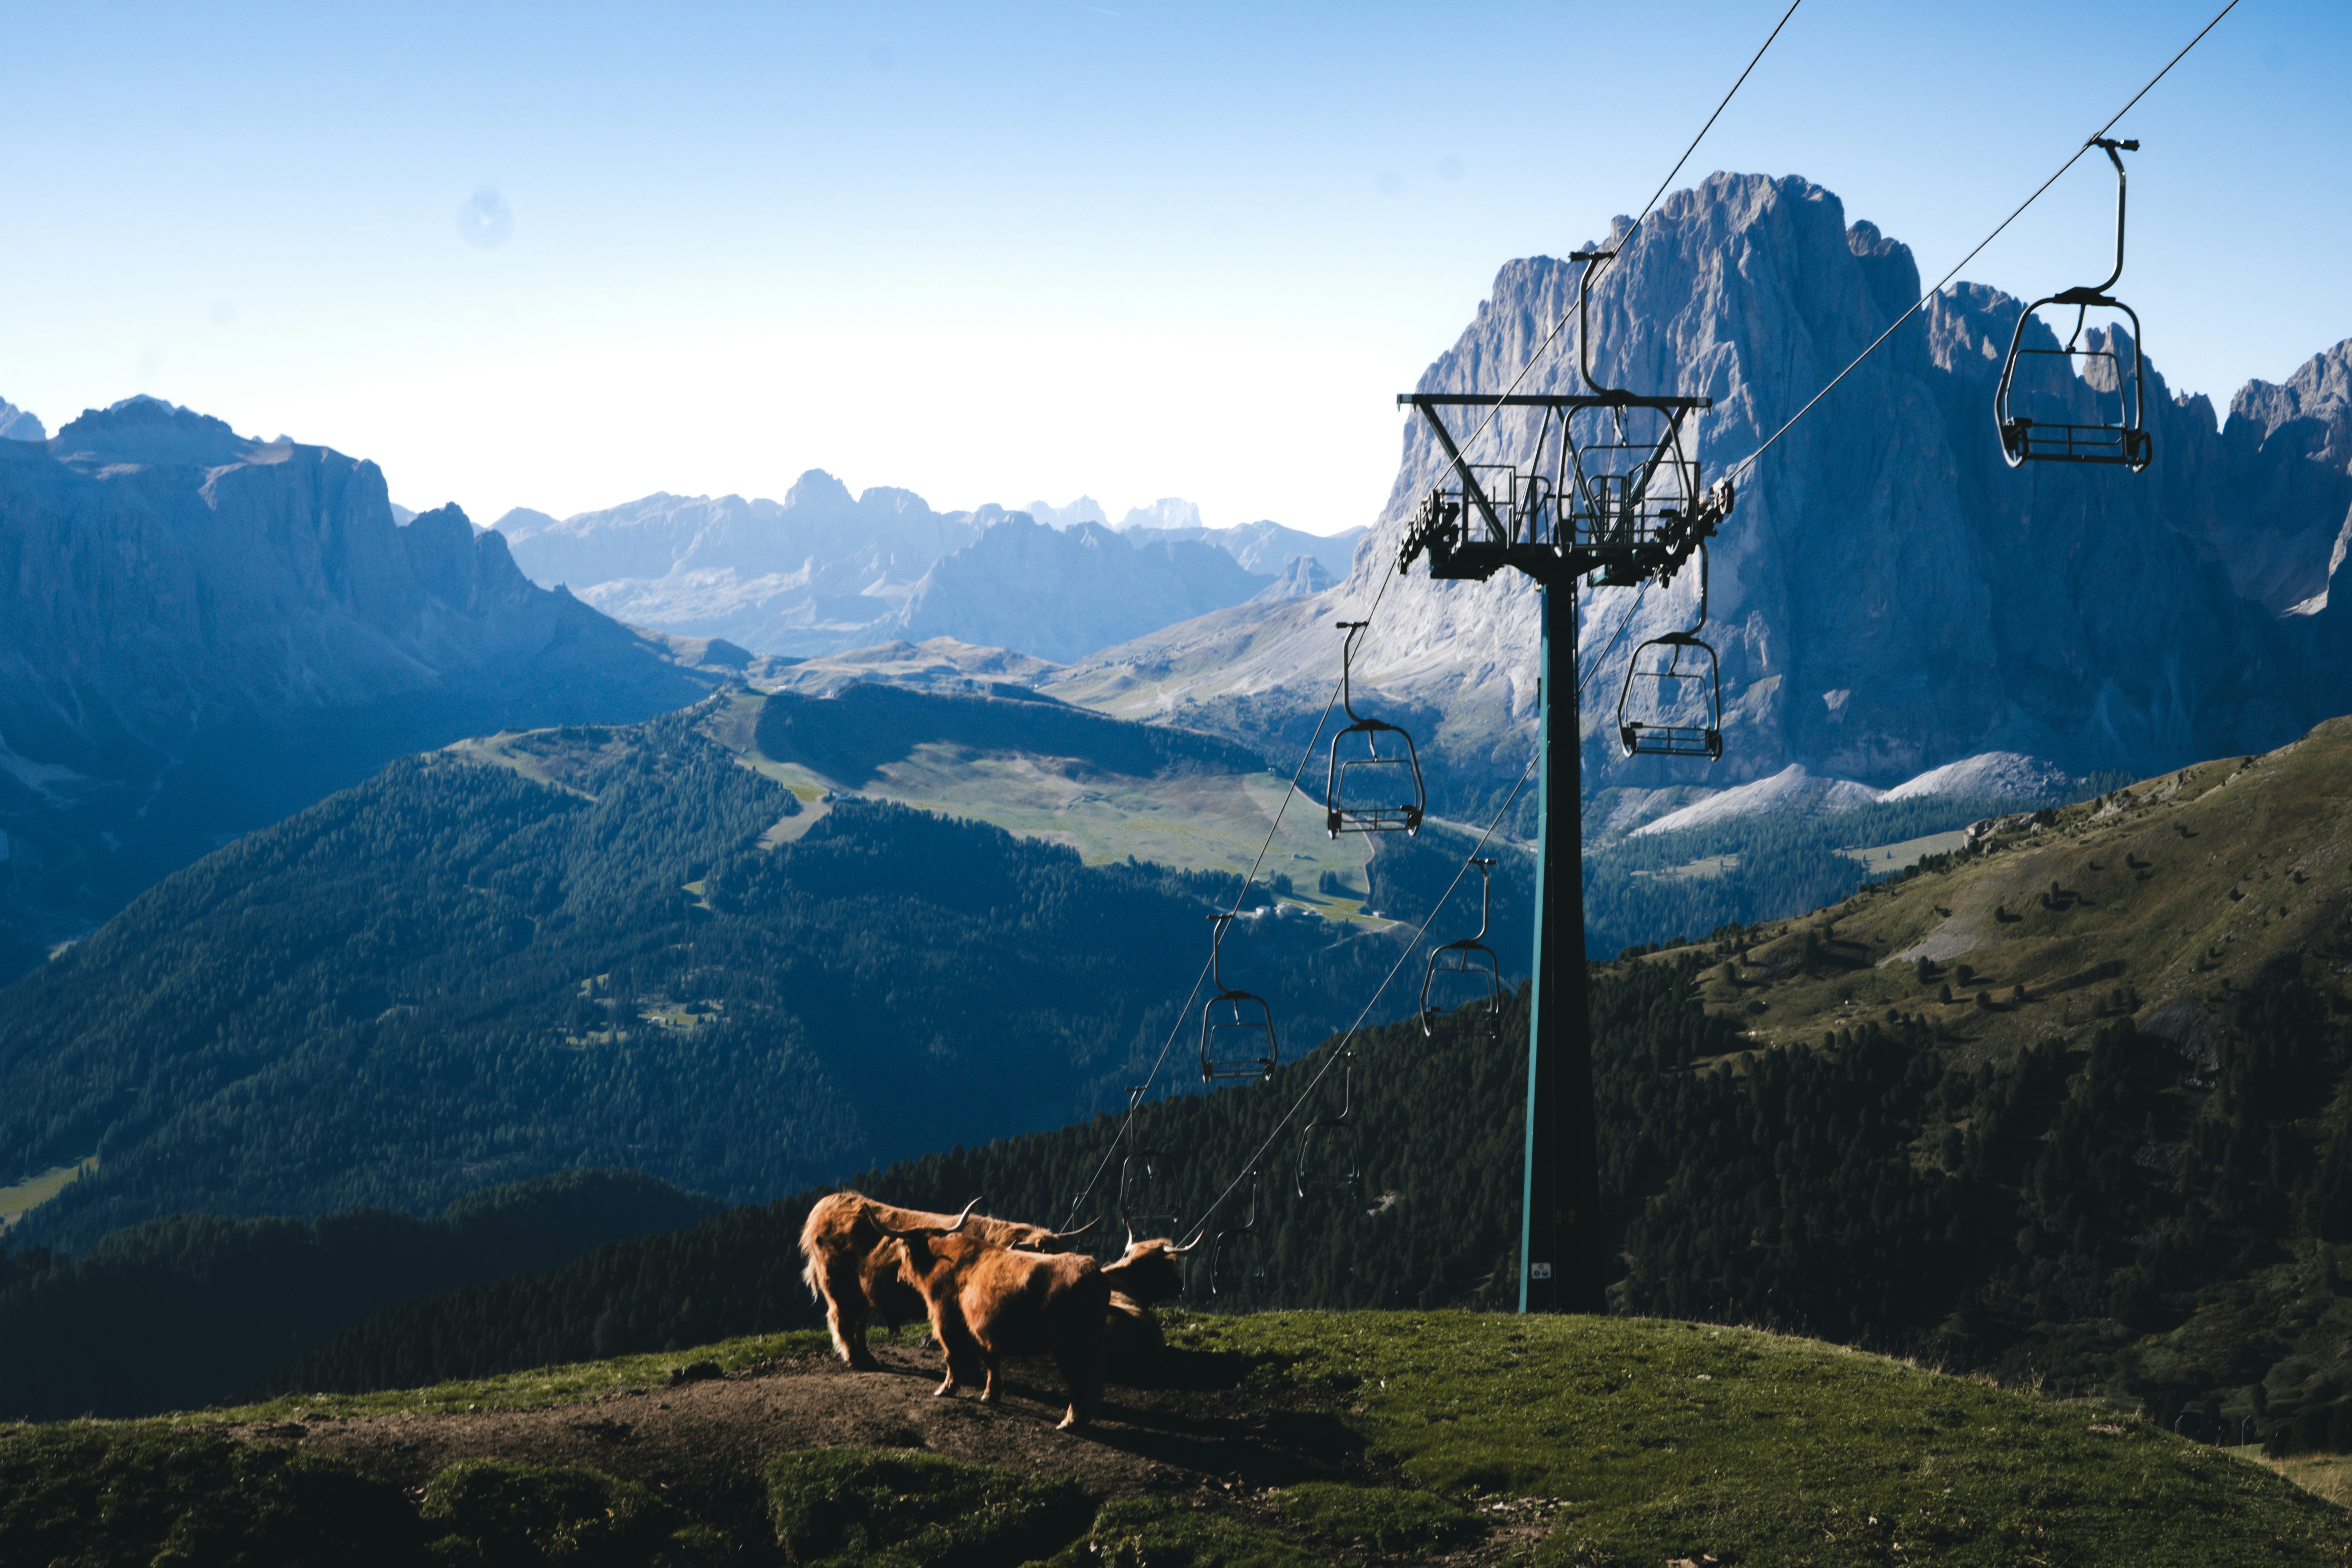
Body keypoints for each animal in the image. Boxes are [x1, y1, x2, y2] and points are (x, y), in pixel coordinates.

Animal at [797, 1190, 1092, 1372]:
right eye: (1046, 1259)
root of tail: (827, 1205)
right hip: (838, 1286)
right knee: (842, 1320)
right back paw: (857, 1360)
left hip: (861, 1293)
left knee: (858, 1322)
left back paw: (868, 1358)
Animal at [876, 1199, 1110, 1430]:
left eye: (903, 1249)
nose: (899, 1275)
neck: (939, 1259)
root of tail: (1092, 1272)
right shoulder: (982, 1329)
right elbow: (991, 1361)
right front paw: (991, 1394)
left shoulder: (945, 1320)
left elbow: (952, 1356)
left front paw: (947, 1389)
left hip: (1070, 1346)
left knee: (1078, 1380)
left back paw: (1069, 1421)